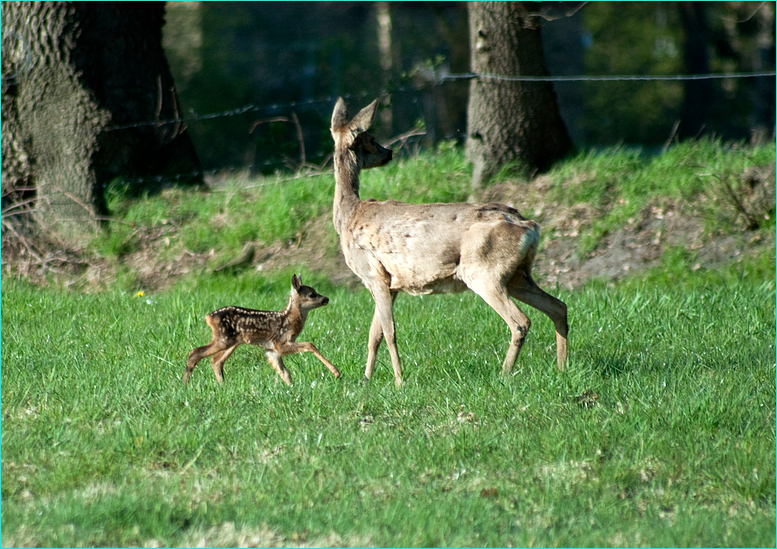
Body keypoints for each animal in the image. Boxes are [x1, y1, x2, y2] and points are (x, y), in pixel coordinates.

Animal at [330, 96, 568, 386]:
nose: (389, 152)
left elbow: (389, 332)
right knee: (558, 306)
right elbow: (374, 334)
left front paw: (399, 382)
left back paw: (503, 374)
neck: (348, 216)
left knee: (521, 321)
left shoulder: (373, 275)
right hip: (517, 275)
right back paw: (561, 368)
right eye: (372, 138)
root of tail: (531, 227)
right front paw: (367, 379)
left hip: (483, 271)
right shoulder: (391, 282)